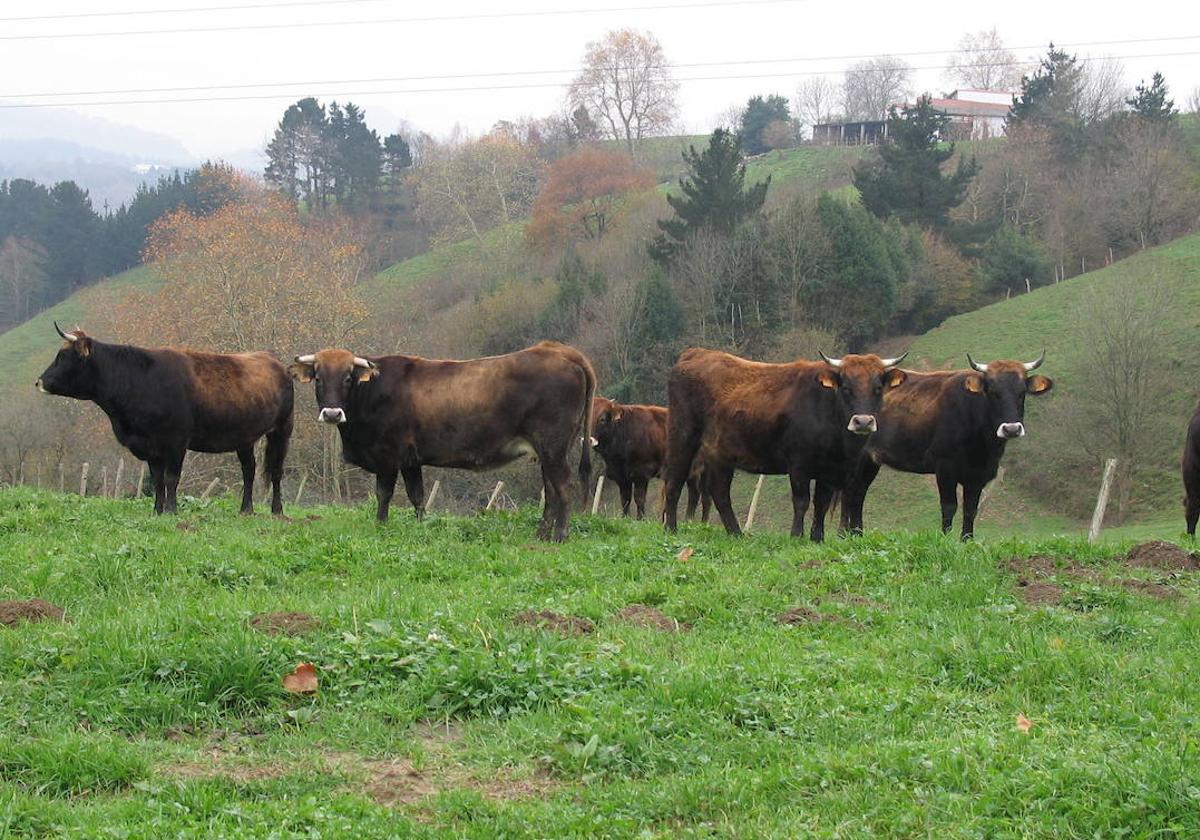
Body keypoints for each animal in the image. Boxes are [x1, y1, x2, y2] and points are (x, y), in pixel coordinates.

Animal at [32, 324, 295, 516]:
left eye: (64, 356)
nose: (39, 382)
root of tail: (273, 359)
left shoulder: (176, 441)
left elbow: (171, 478)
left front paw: (171, 510)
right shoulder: (150, 445)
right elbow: (157, 479)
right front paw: (157, 511)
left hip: (282, 429)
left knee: (276, 470)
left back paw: (277, 510)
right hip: (244, 437)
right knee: (249, 470)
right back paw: (246, 509)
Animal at [286, 343, 595, 544]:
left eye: (348, 378)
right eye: (318, 378)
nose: (332, 413)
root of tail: (558, 350)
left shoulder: (388, 457)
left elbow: (384, 494)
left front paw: (380, 525)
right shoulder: (410, 459)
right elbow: (417, 495)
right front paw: (421, 525)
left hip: (552, 446)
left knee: (563, 486)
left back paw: (560, 535)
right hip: (549, 450)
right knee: (551, 489)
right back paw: (541, 534)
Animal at [662, 345, 902, 537]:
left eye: (877, 389)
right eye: (846, 388)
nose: (863, 422)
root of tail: (696, 353)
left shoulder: (829, 470)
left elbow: (821, 504)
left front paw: (817, 538)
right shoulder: (798, 463)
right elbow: (801, 501)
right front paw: (796, 535)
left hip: (720, 453)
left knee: (719, 492)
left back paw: (736, 534)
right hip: (682, 437)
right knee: (674, 481)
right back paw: (671, 529)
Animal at [840, 352, 1056, 537]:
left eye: (1022, 393)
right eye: (993, 392)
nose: (1011, 429)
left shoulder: (978, 474)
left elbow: (970, 509)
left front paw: (966, 540)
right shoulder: (945, 467)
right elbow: (949, 506)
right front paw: (944, 539)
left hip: (870, 461)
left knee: (858, 493)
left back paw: (857, 534)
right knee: (849, 492)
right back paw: (845, 534)